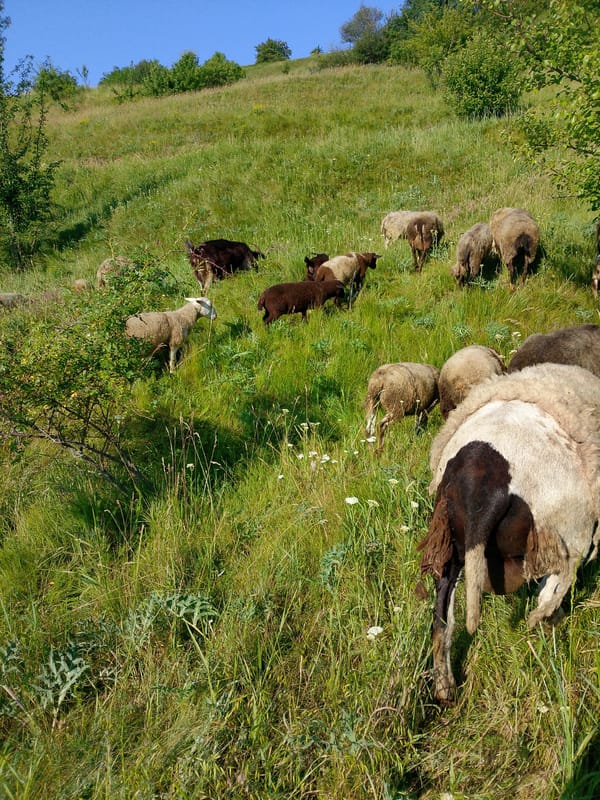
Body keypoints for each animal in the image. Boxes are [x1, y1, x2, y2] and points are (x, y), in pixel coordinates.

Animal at [417, 363, 600, 703]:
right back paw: (551, 626)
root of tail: (481, 490)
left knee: (441, 620)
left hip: (452, 548)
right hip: (566, 534)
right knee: (548, 596)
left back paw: (445, 688)